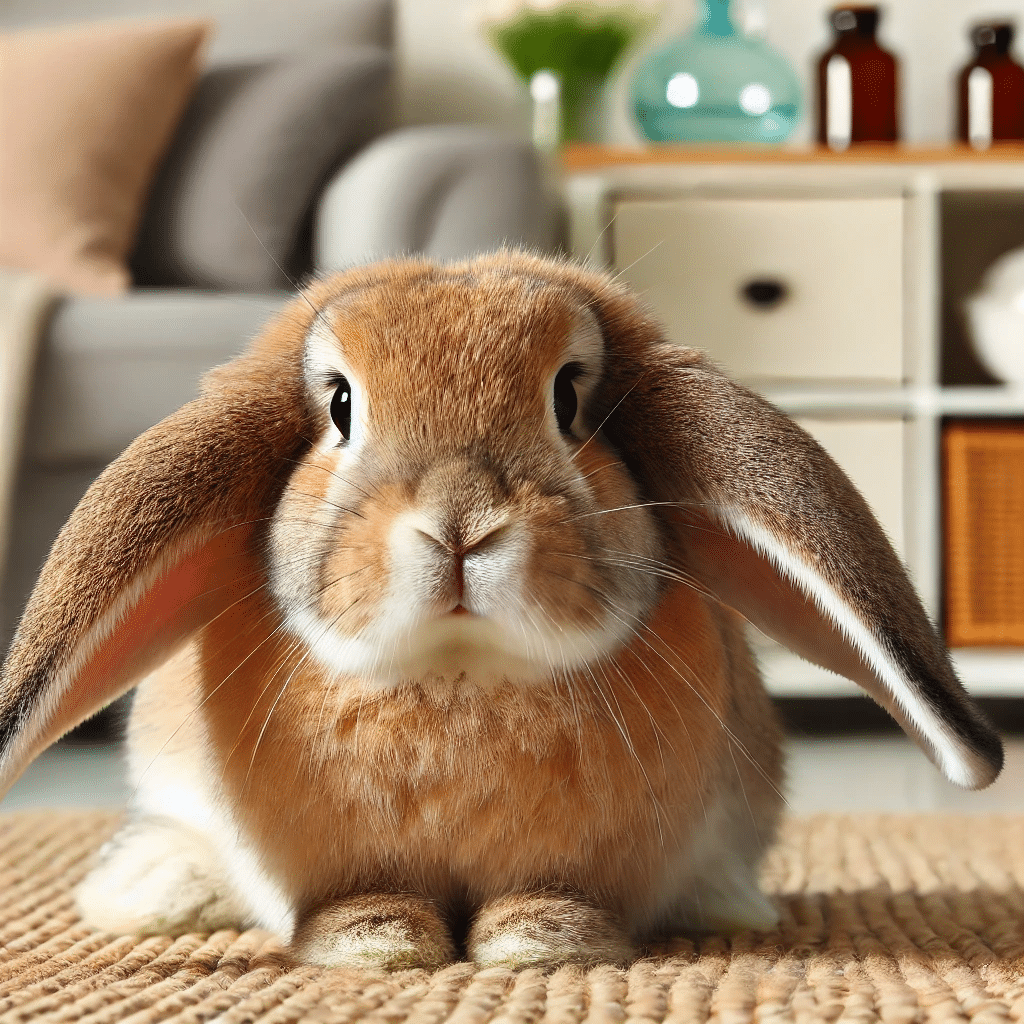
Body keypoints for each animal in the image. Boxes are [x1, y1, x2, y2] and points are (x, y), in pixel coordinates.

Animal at [0, 249, 1003, 966]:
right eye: (340, 404)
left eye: (569, 396)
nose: (460, 525)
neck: (458, 671)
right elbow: (355, 900)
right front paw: (373, 943)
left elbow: (554, 897)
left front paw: (539, 942)